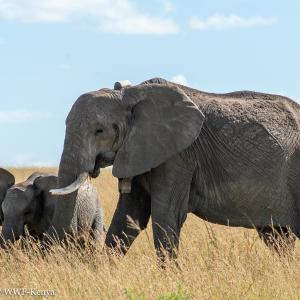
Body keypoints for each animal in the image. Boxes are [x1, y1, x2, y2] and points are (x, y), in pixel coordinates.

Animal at [49, 77, 300, 258]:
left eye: (99, 131)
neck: (131, 94)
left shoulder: (178, 156)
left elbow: (166, 215)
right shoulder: (140, 150)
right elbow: (128, 218)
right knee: (278, 237)